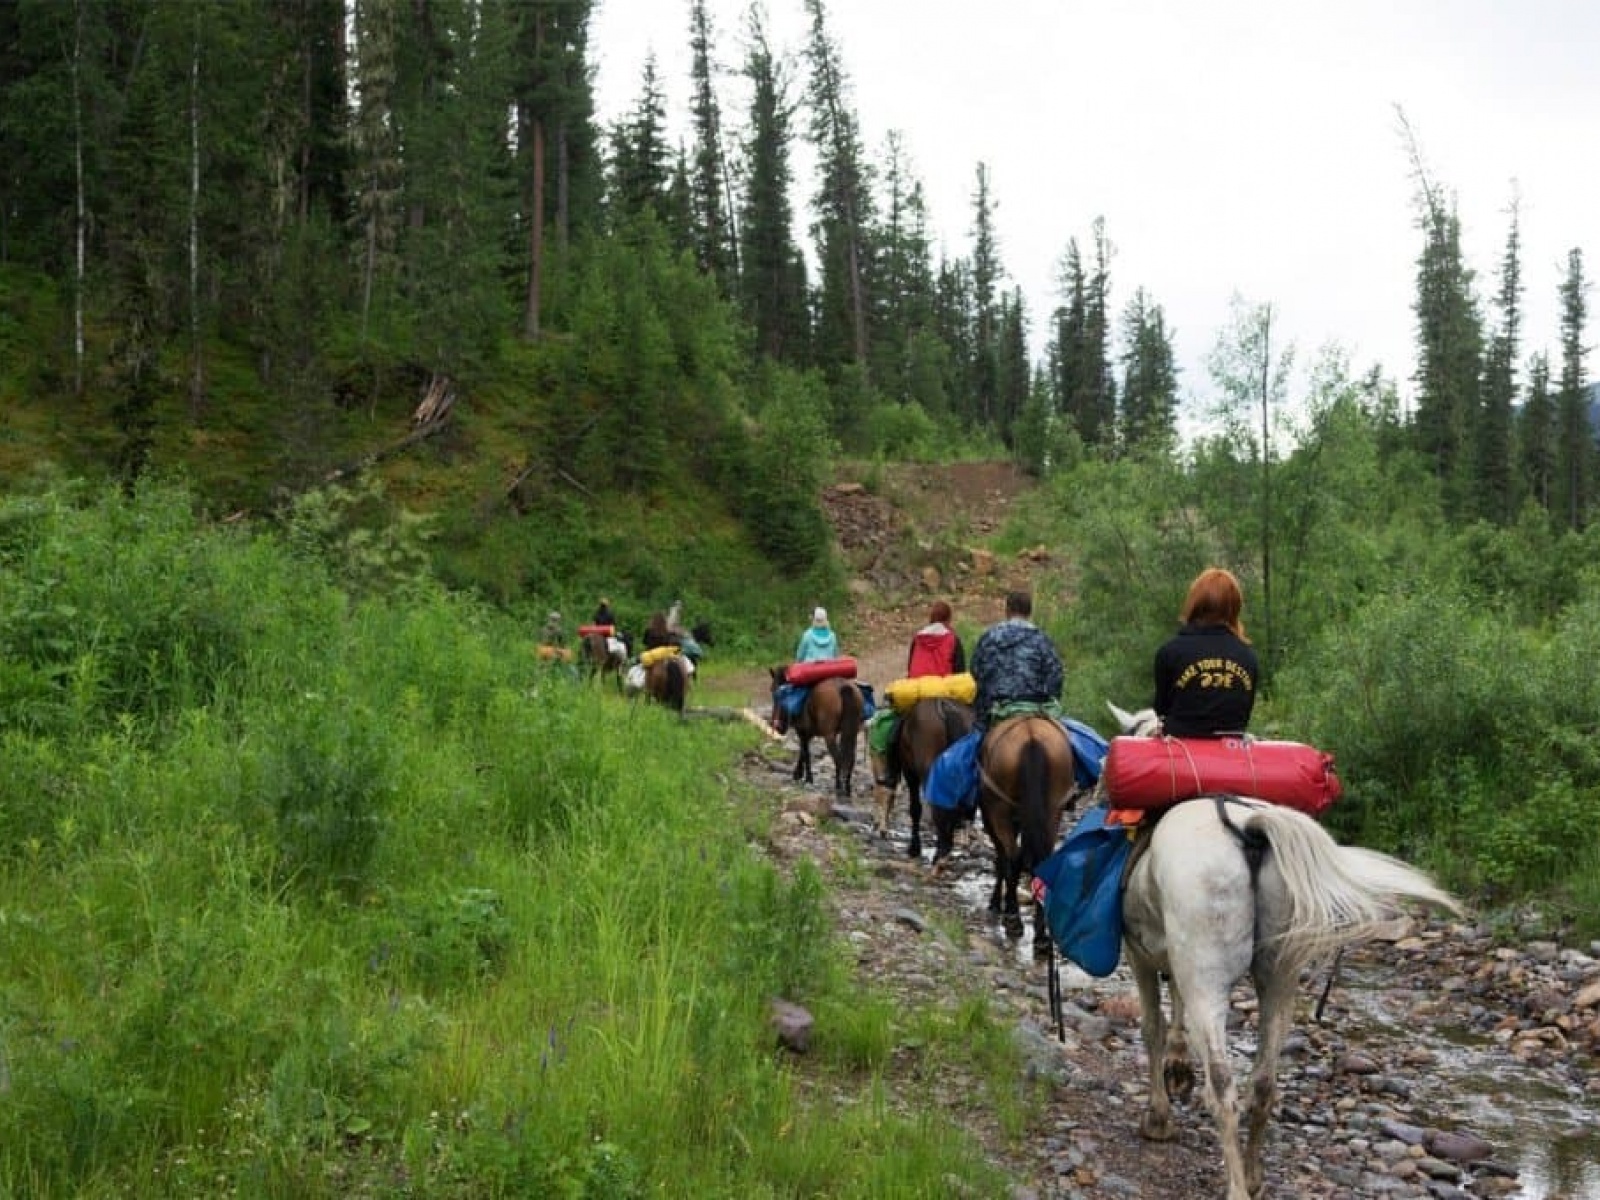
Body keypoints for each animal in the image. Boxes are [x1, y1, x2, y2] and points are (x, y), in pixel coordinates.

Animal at [771, 672, 870, 803]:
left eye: (774, 692)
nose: (777, 726)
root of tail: (843, 687)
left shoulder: (802, 731)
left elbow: (805, 753)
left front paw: (807, 778)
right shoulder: (808, 734)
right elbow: (803, 753)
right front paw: (798, 774)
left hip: (829, 736)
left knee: (838, 759)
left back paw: (839, 788)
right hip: (852, 733)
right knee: (850, 759)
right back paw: (847, 789)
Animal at [1100, 704, 1465, 1200]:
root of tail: (1249, 830)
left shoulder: (1140, 956)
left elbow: (1152, 1029)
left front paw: (1158, 1117)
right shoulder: (1172, 958)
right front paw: (1178, 1069)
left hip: (1207, 975)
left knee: (1224, 1083)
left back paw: (1236, 1184)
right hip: (1277, 977)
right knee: (1265, 1081)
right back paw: (1254, 1175)